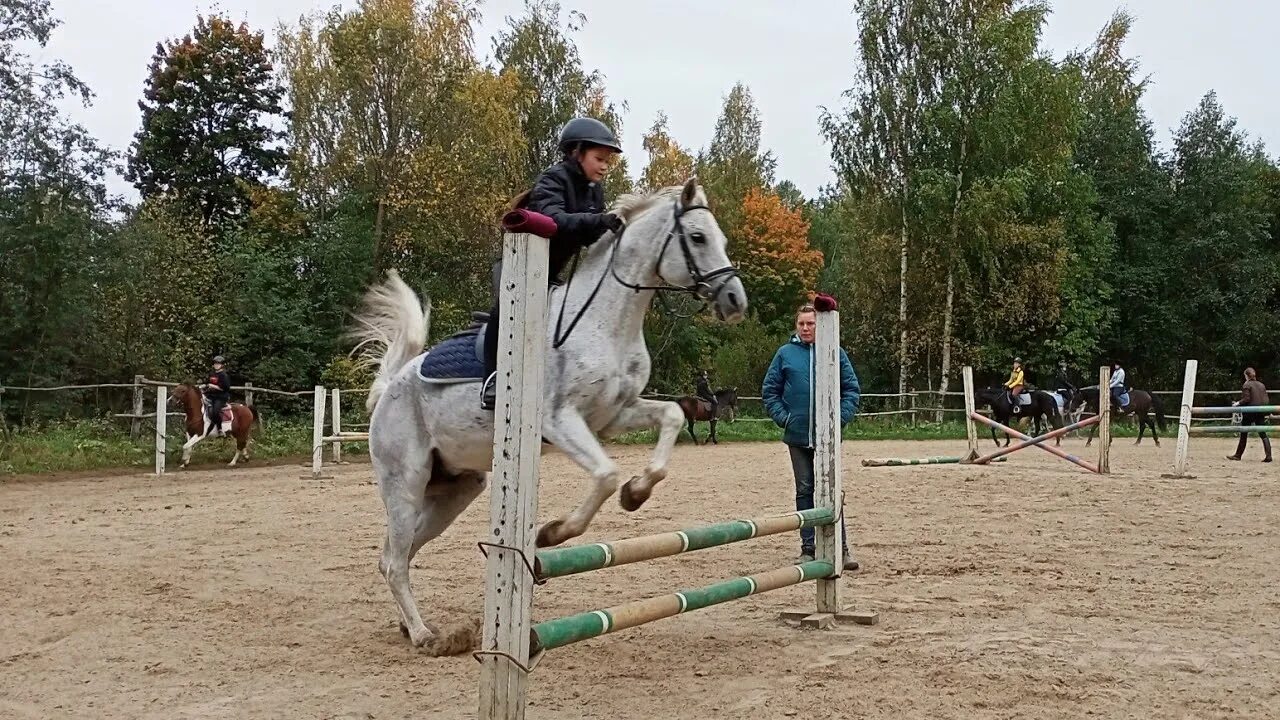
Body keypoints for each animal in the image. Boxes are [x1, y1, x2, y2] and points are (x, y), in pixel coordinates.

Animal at [350, 178, 747, 645]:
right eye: (698, 237)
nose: (735, 300)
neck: (606, 323)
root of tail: (391, 385)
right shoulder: (559, 420)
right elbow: (605, 474)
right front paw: (553, 532)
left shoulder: (614, 415)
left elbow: (672, 418)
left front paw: (636, 492)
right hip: (405, 483)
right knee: (395, 560)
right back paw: (423, 634)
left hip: (456, 489)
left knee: (399, 553)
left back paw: (409, 624)